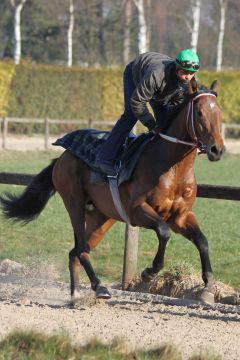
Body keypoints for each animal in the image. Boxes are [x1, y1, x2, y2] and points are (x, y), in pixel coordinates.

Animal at [0, 79, 225, 304]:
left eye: (219, 112)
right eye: (199, 113)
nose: (217, 149)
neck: (173, 168)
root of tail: (62, 157)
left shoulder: (181, 216)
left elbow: (202, 241)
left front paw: (208, 288)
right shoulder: (137, 210)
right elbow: (164, 231)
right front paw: (149, 272)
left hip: (102, 217)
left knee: (76, 252)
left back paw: (75, 295)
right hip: (74, 203)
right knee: (81, 249)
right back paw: (99, 286)